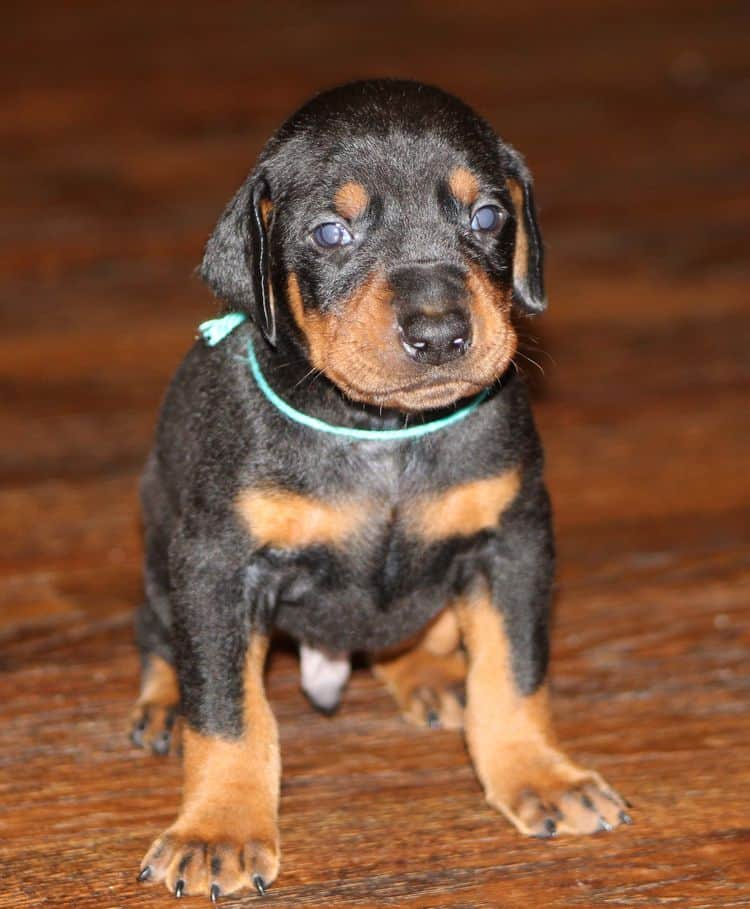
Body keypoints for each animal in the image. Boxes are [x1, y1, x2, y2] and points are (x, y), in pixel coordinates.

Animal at [132, 78, 632, 900]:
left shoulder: (514, 539)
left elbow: (516, 673)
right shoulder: (216, 564)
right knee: (161, 638)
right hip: (158, 556)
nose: (439, 334)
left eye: (487, 216)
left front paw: (540, 775)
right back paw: (163, 702)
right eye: (331, 232)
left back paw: (434, 675)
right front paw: (218, 831)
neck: (385, 437)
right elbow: (230, 708)